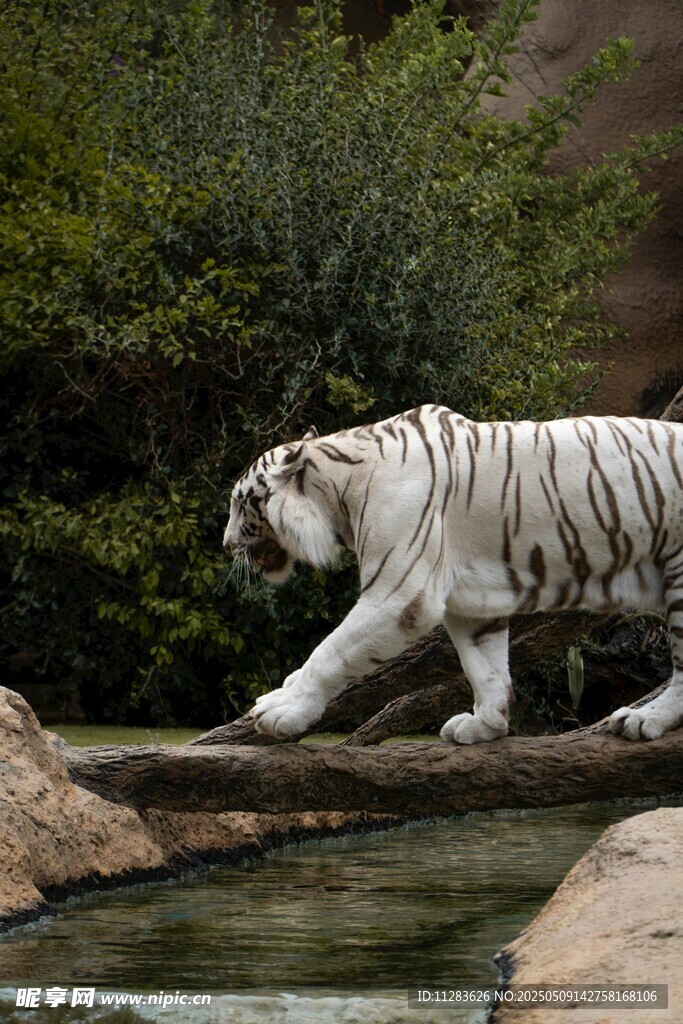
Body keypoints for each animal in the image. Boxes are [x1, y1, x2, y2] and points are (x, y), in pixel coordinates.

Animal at [223, 404, 683, 744]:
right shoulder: (473, 604)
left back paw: (644, 720)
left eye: (240, 504)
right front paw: (486, 726)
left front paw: (282, 710)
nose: (226, 544)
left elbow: (330, 652)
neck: (340, 490)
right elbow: (485, 667)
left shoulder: (399, 595)